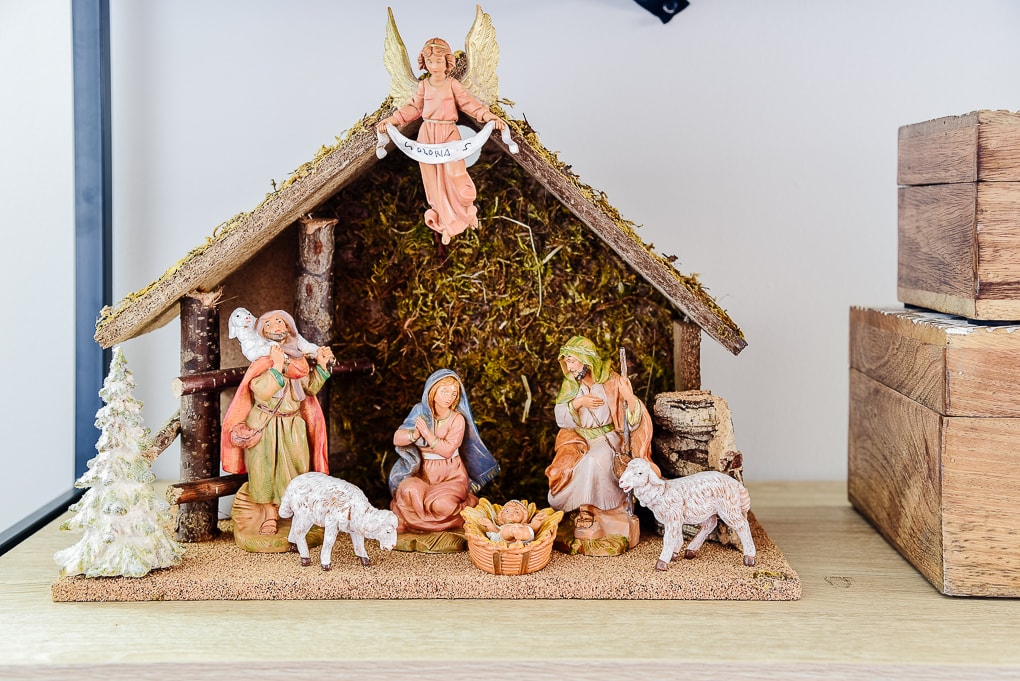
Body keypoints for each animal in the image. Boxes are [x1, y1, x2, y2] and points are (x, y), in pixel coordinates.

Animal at [616, 454, 754, 570]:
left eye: (640, 473)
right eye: (626, 469)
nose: (621, 482)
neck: (661, 492)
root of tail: (737, 485)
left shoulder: (673, 517)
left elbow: (669, 539)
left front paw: (662, 562)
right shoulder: (676, 518)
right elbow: (677, 537)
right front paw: (673, 555)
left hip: (729, 508)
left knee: (742, 526)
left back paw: (749, 557)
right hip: (706, 510)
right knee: (710, 524)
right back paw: (691, 551)